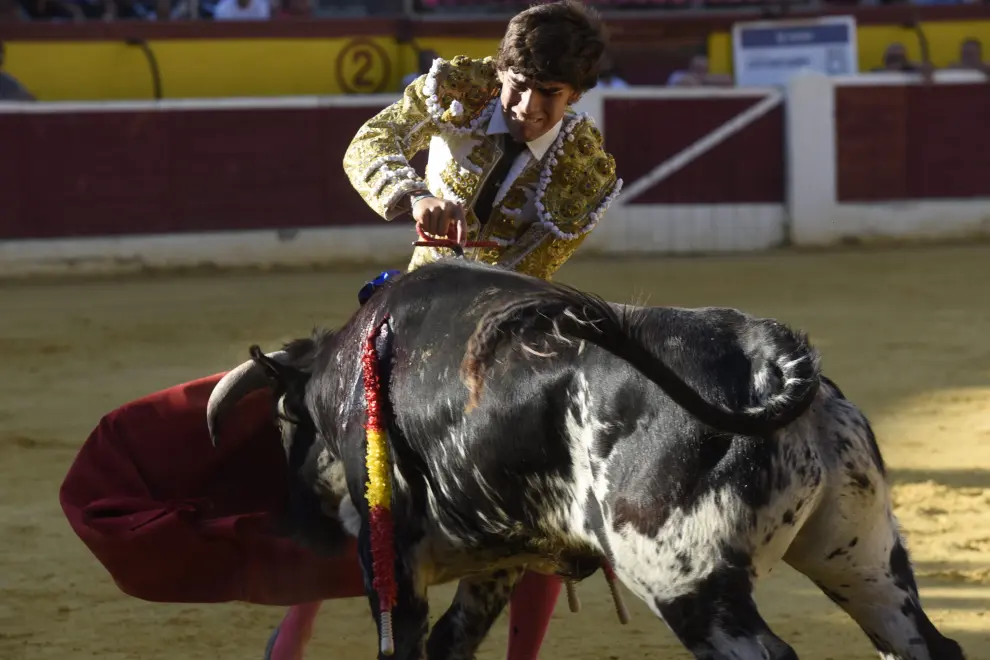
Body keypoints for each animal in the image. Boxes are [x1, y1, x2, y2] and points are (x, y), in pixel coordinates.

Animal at [207, 258, 960, 660]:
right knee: (922, 641)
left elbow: (410, 641)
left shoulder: (389, 558)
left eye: (287, 426)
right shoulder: (500, 558)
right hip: (862, 555)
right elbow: (455, 639)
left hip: (685, 581)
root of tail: (763, 353)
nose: (294, 522)